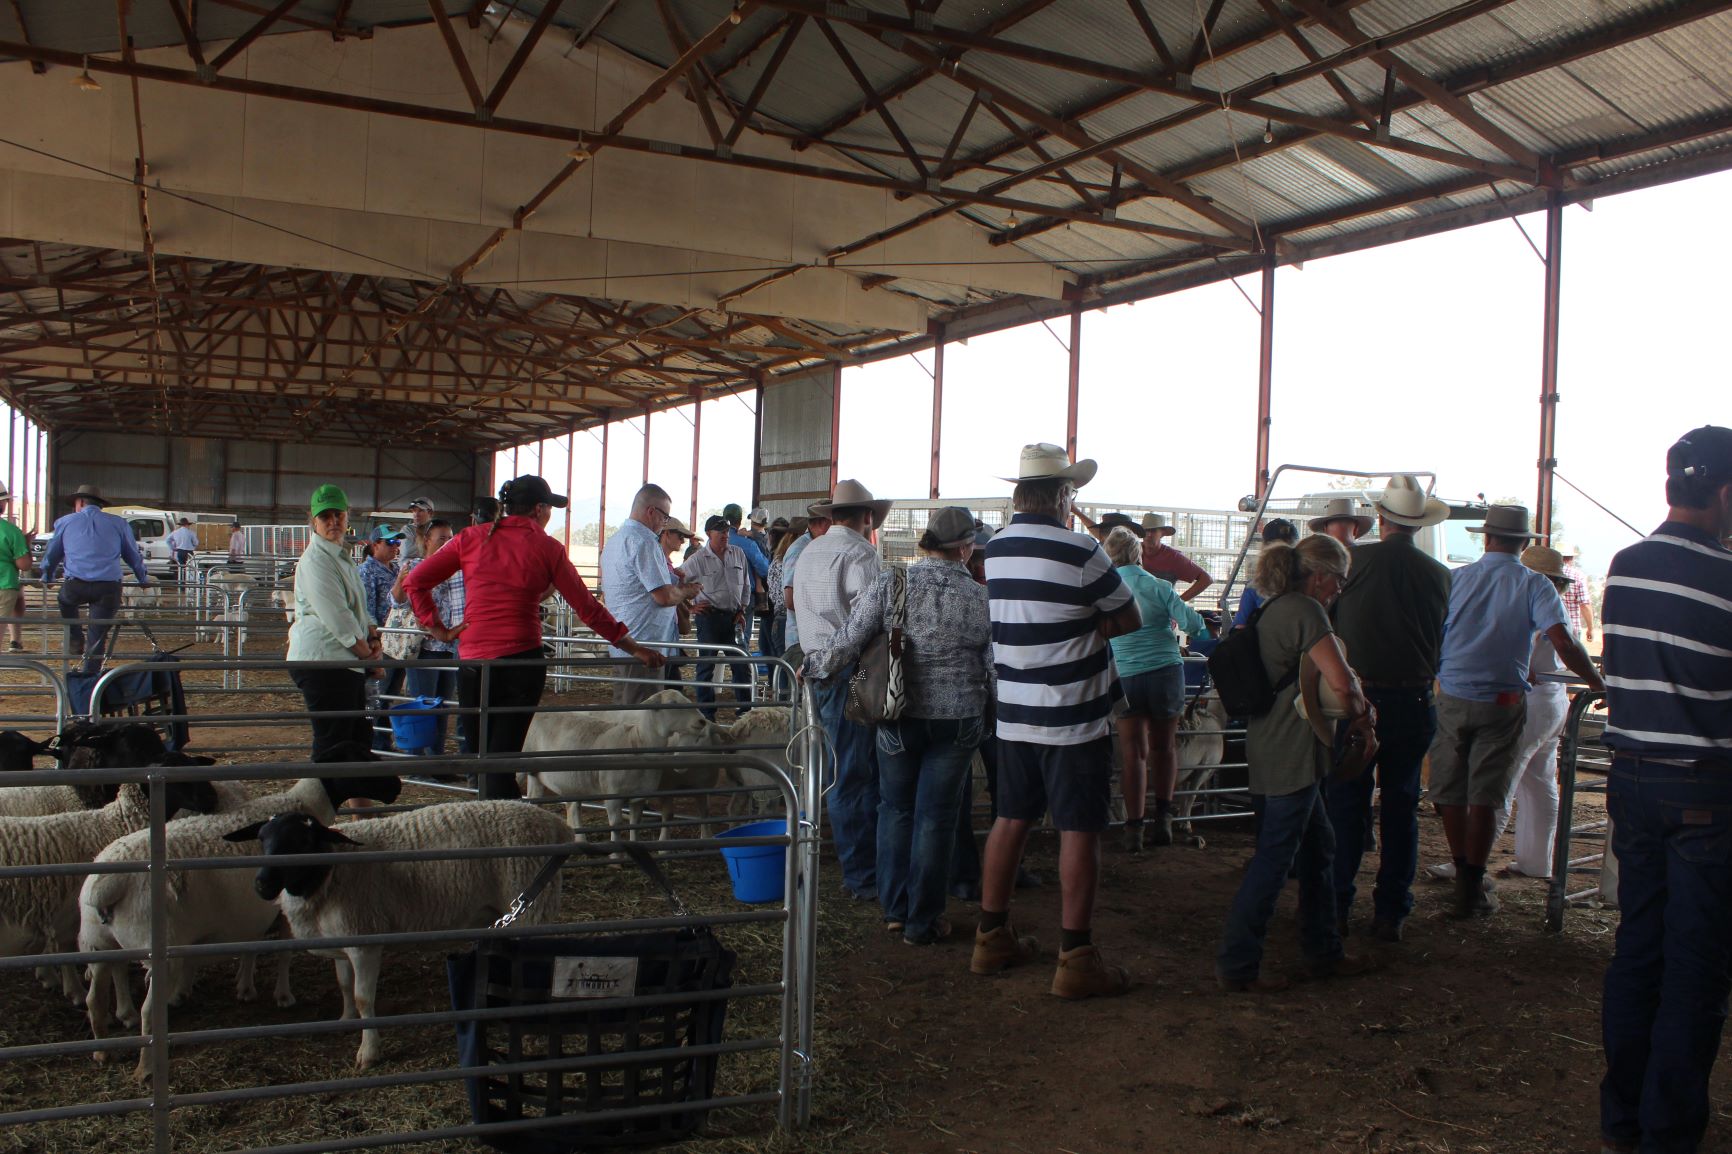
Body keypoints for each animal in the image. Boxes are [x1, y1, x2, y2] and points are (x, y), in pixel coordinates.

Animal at [80, 745, 403, 1074]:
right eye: (359, 756)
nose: (396, 786)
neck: (303, 804)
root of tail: (106, 885)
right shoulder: (281, 912)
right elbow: (283, 951)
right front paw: (283, 995)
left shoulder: (253, 912)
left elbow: (251, 946)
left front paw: (245, 987)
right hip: (156, 952)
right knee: (147, 1012)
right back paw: (146, 1068)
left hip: (97, 944)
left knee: (94, 999)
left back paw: (102, 1052)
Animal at [224, 800, 574, 1069]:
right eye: (262, 839)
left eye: (302, 841)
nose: (262, 885)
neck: (329, 874)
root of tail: (555, 823)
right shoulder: (341, 938)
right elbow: (344, 984)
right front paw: (346, 1020)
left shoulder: (364, 940)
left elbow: (363, 998)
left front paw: (368, 1051)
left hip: (534, 907)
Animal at [520, 689, 722, 842]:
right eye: (672, 703)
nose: (701, 720)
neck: (637, 741)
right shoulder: (614, 794)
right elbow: (618, 824)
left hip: (559, 780)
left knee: (556, 804)